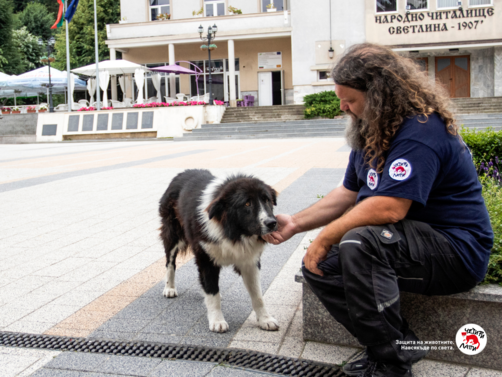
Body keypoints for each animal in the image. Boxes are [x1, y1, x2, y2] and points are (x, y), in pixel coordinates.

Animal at [159, 170, 280, 332]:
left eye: (267, 200)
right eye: (247, 204)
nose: (272, 223)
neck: (233, 232)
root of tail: (181, 173)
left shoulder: (249, 262)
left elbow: (258, 295)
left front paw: (265, 319)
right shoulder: (207, 260)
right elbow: (212, 293)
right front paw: (217, 321)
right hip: (173, 234)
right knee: (170, 263)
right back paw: (169, 288)